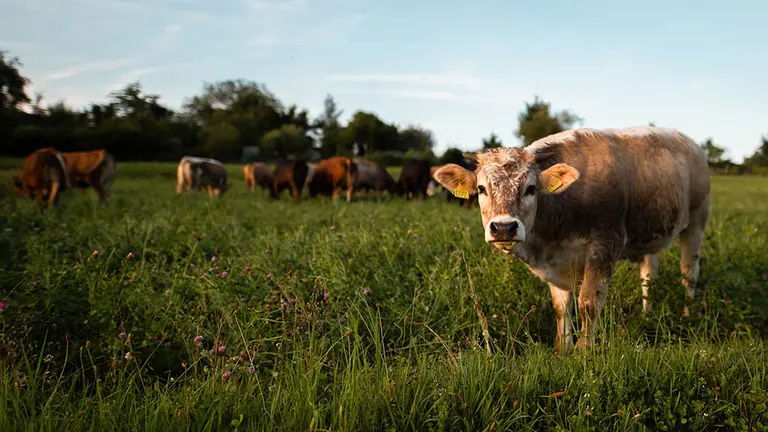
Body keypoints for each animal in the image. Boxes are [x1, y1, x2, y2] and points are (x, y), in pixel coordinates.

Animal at [432, 126, 711, 354]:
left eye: (531, 188)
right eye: (481, 189)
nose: (503, 227)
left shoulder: (605, 245)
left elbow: (588, 302)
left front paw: (583, 350)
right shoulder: (554, 263)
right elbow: (561, 307)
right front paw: (562, 348)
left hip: (696, 223)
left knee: (689, 272)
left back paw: (687, 313)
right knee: (649, 275)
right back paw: (647, 313)